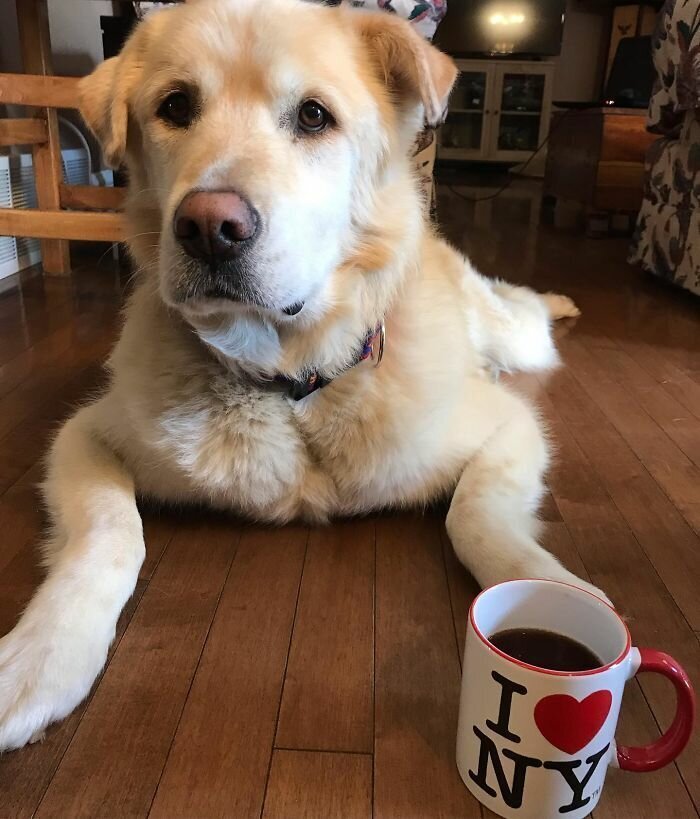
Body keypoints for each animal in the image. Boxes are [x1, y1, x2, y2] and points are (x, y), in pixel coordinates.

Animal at [0, 0, 604, 752]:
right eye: (175, 107)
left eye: (314, 116)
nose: (209, 227)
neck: (292, 384)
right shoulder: (84, 435)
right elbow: (109, 532)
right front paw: (43, 656)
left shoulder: (509, 426)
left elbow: (476, 515)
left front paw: (547, 585)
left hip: (518, 337)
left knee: (527, 314)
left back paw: (558, 304)